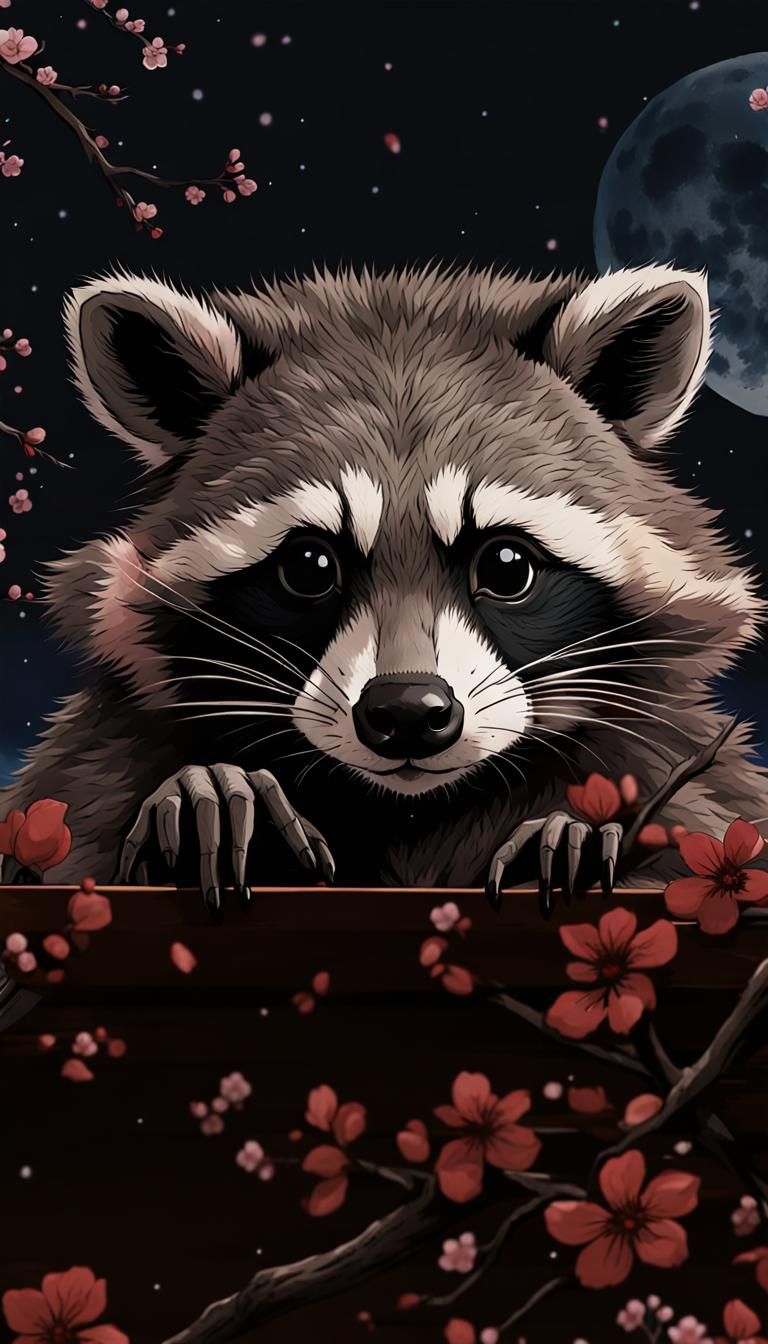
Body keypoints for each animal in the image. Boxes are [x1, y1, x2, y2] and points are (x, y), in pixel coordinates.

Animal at [1, 260, 766, 913]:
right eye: (310, 567)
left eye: (506, 565)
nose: (407, 711)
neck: (411, 807)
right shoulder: (104, 752)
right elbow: (75, 826)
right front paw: (203, 793)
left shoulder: (672, 756)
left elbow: (706, 833)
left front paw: (575, 831)